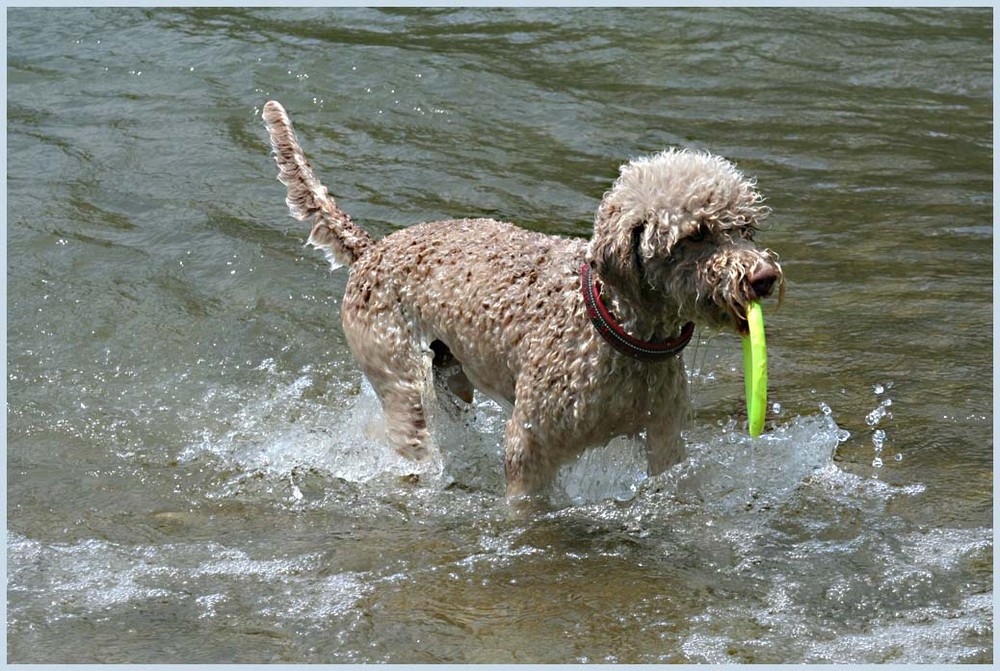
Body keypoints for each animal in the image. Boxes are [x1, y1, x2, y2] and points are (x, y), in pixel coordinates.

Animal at [264, 101, 780, 498]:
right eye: (696, 234)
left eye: (745, 228)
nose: (765, 278)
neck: (616, 329)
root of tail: (371, 249)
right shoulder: (531, 449)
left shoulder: (665, 438)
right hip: (397, 377)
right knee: (408, 431)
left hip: (451, 377)